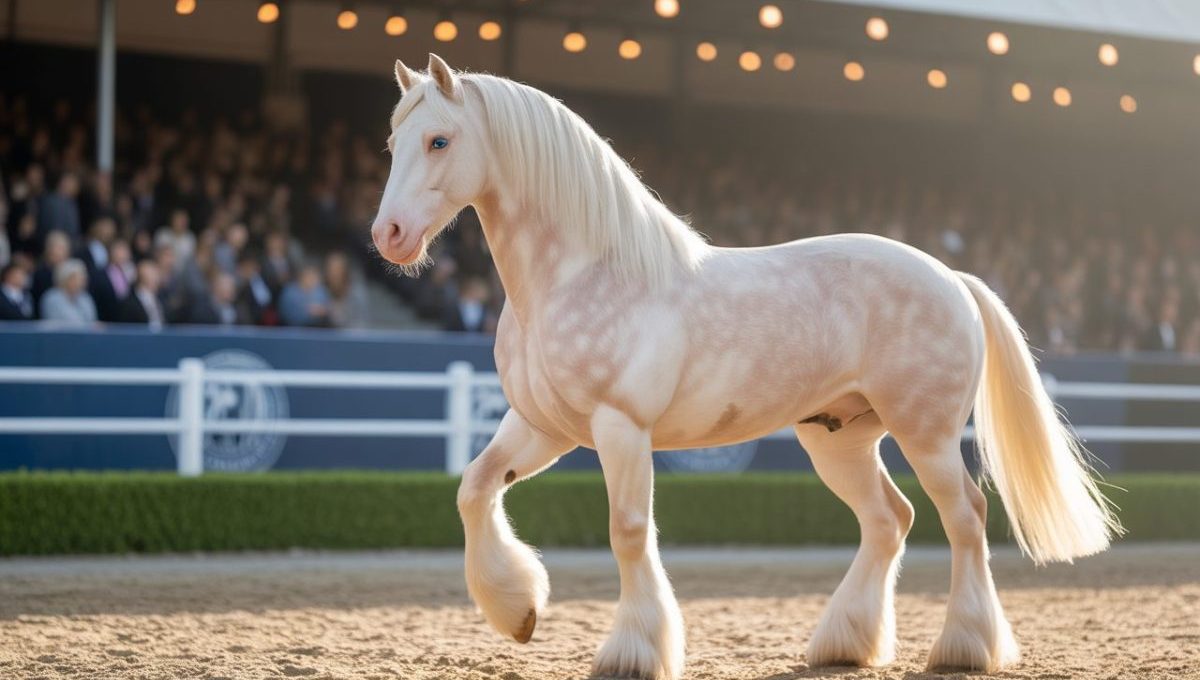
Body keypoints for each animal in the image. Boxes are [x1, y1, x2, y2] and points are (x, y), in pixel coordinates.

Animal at [371, 54, 1121, 680]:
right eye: (392, 144)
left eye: (439, 141)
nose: (389, 236)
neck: (584, 273)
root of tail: (953, 278)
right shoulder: (543, 427)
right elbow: (474, 488)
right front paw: (518, 611)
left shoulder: (620, 429)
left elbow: (628, 531)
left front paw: (633, 652)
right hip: (839, 439)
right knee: (890, 520)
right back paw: (844, 644)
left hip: (926, 435)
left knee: (964, 517)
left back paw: (964, 649)